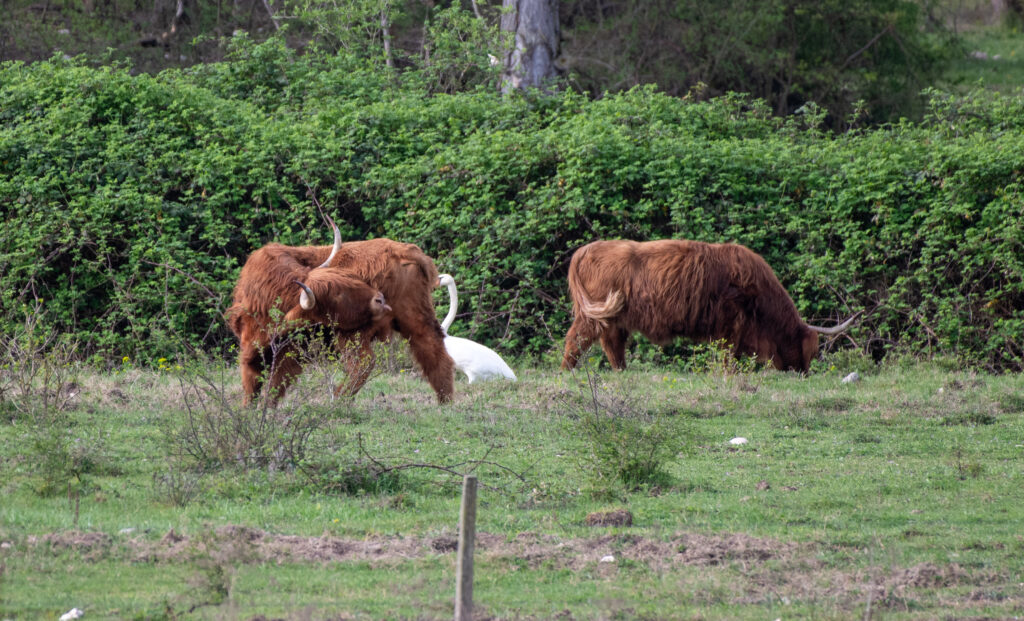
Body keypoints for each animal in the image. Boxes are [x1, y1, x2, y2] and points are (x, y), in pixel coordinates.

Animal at [232, 221, 456, 405]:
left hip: (352, 334)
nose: (379, 299)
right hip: (414, 318)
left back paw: (337, 400)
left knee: (362, 363)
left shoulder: (279, 348)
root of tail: (401, 250)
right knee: (432, 348)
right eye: (337, 295)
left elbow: (268, 382)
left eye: (351, 278)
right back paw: (445, 401)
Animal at [561, 240, 856, 373]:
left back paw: (621, 372)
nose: (803, 373)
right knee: (575, 339)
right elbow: (728, 355)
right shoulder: (731, 324)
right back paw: (566, 372)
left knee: (612, 346)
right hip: (593, 315)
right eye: (811, 351)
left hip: (614, 318)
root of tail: (586, 249)